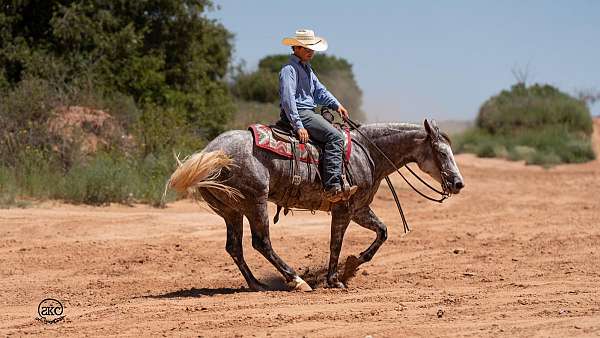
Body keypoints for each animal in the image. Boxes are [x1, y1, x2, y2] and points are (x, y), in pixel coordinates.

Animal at [166, 118, 466, 290]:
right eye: (441, 152)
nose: (458, 183)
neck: (367, 153)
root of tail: (210, 152)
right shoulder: (343, 209)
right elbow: (336, 242)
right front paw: (334, 279)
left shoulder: (359, 209)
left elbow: (382, 232)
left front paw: (353, 264)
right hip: (255, 203)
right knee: (261, 243)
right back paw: (296, 280)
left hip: (231, 210)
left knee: (234, 247)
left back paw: (256, 284)